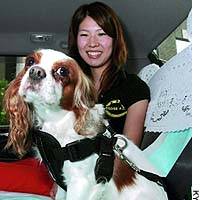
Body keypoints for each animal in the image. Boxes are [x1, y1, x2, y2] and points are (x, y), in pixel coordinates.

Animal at [3, 48, 168, 200]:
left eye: (63, 71)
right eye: (30, 61)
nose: (35, 72)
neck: (57, 123)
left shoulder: (80, 184)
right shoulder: (63, 185)